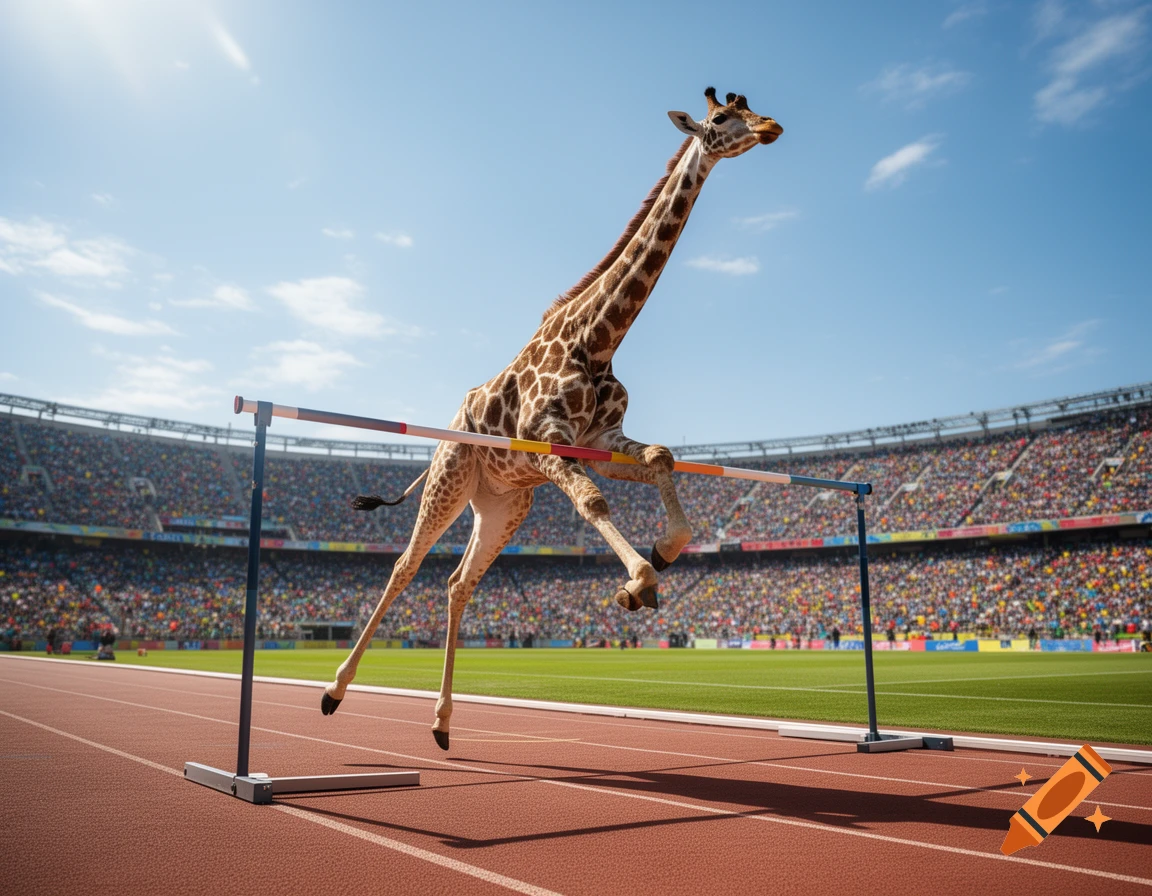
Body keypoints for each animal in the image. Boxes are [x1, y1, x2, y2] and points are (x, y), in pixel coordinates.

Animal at [322, 87, 783, 749]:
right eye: (722, 118)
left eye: (753, 107)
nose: (771, 127)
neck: (597, 338)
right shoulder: (550, 442)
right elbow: (593, 502)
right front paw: (639, 581)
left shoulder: (604, 439)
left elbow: (662, 457)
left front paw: (664, 552)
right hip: (450, 483)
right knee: (404, 567)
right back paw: (334, 691)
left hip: (503, 505)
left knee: (457, 583)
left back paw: (442, 722)